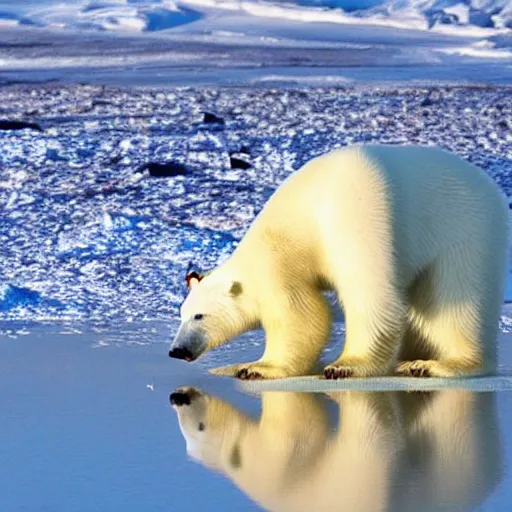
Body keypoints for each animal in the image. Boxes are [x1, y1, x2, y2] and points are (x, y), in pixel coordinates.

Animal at [169, 142, 508, 378]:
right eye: (181, 314)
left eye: (199, 316)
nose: (176, 350)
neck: (294, 224)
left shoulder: (353, 218)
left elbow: (315, 311)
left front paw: (341, 365)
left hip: (464, 229)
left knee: (453, 301)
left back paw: (437, 364)